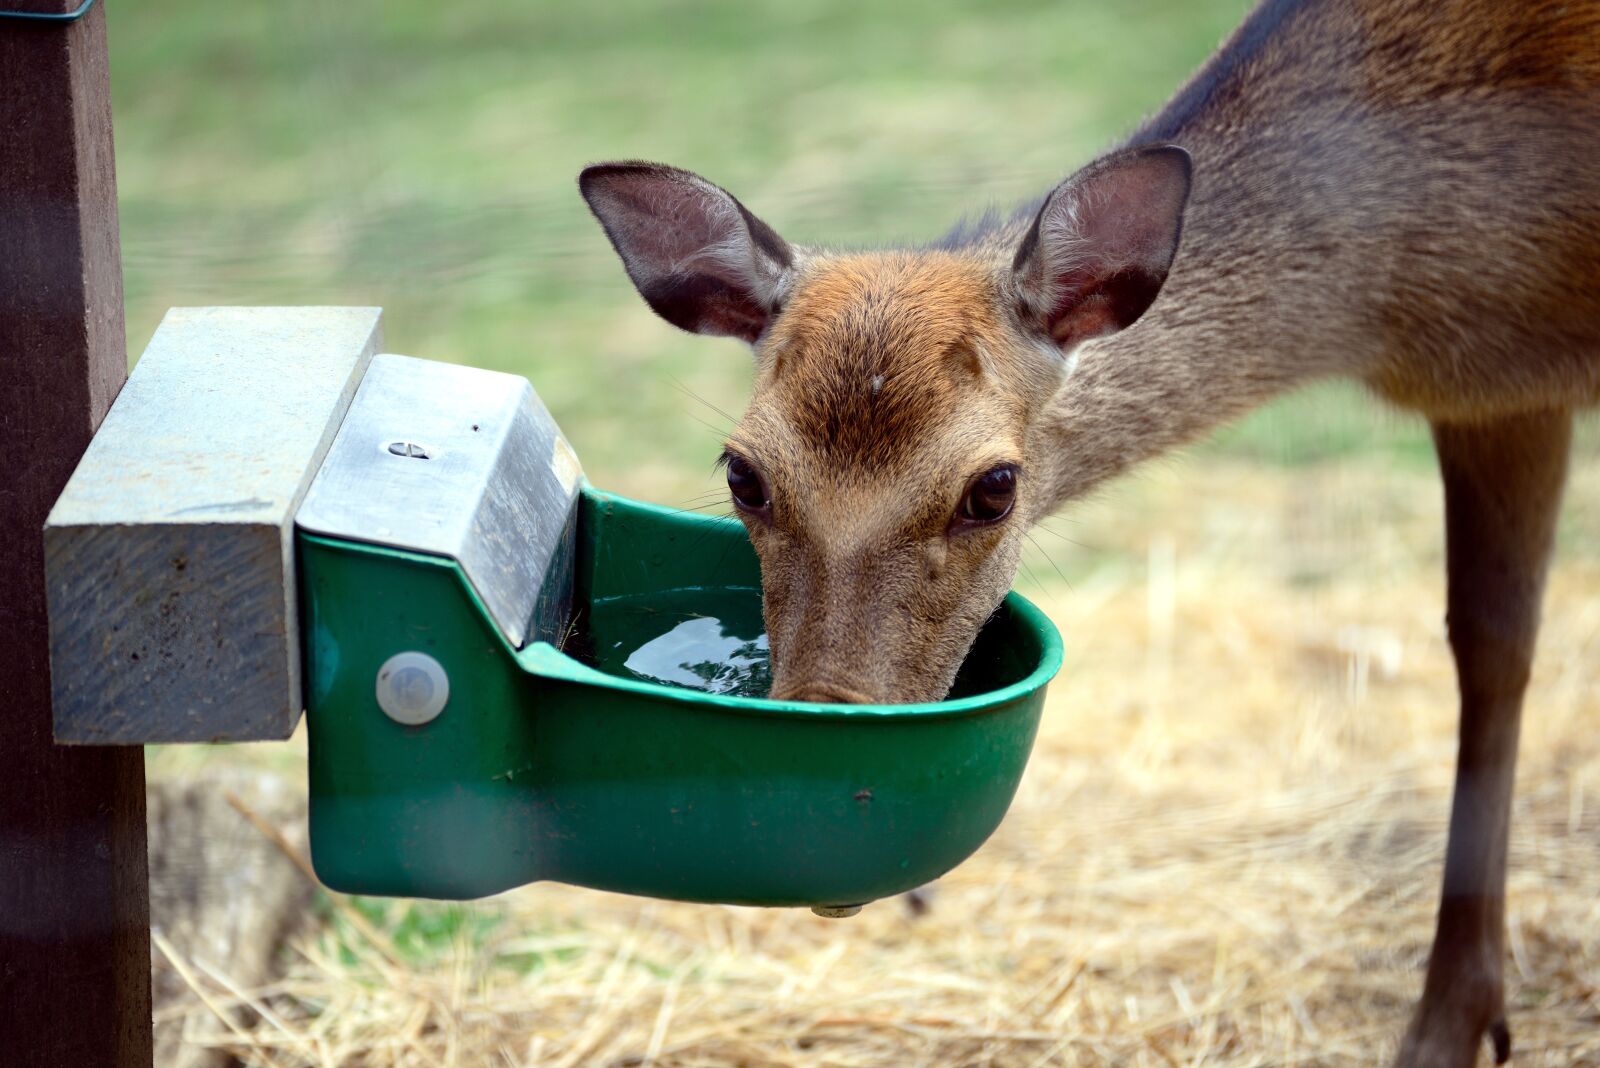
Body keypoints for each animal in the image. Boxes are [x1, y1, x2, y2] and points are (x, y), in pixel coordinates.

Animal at [577, 0, 1600, 1063]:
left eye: (993, 488)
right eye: (743, 474)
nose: (827, 724)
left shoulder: (1513, 390)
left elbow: (1496, 655)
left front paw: (1449, 1026)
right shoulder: (1494, 396)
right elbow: (1492, 645)